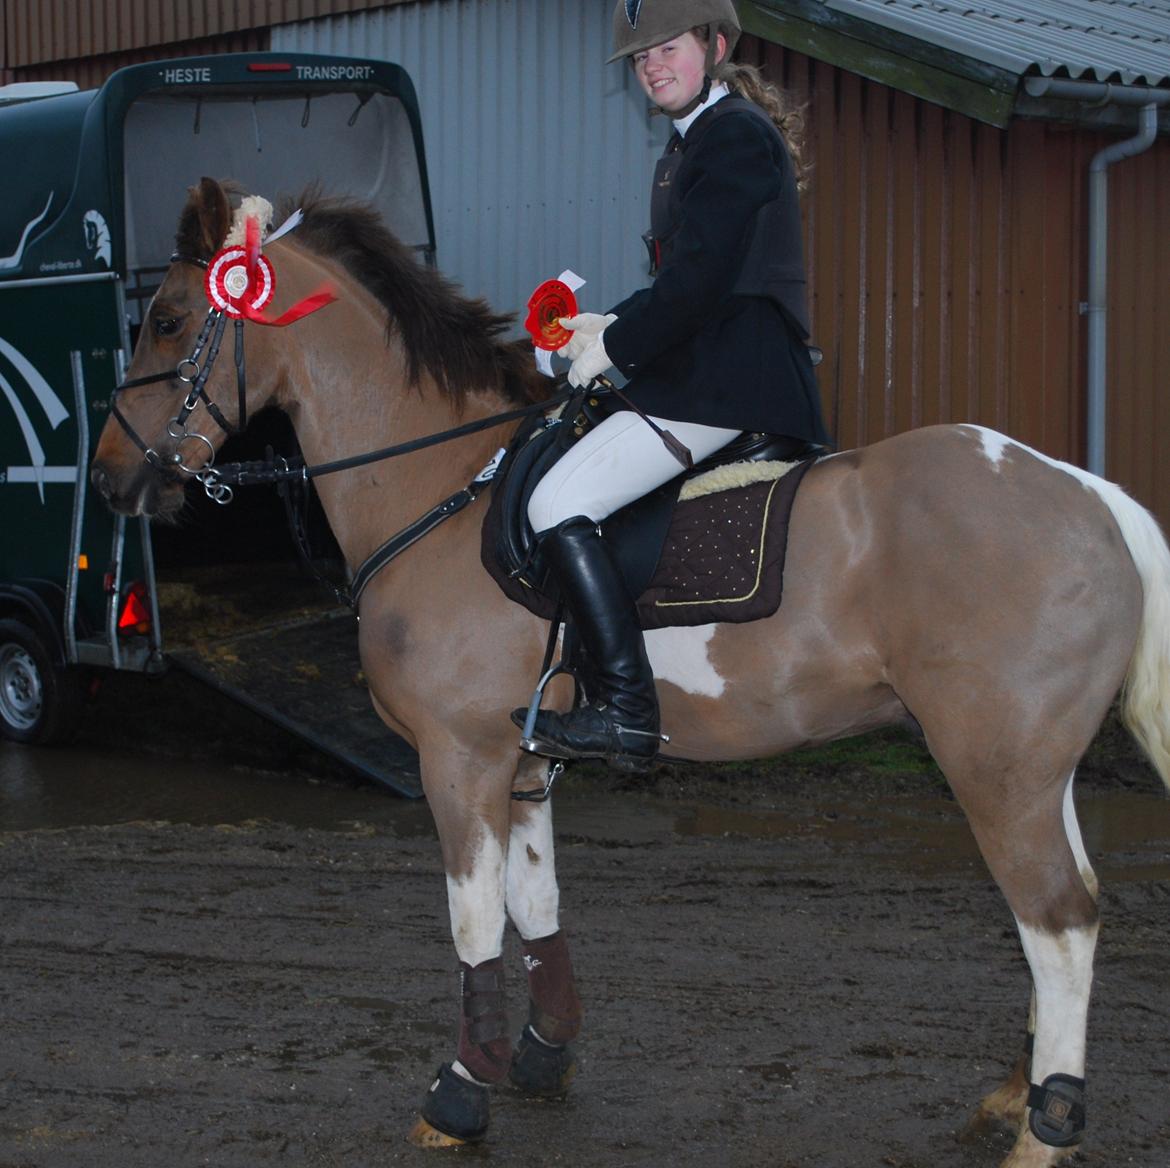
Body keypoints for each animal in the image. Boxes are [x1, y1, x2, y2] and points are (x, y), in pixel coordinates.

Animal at [91, 177, 1170, 1168]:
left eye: (168, 319)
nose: (109, 477)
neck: (440, 490)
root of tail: (1092, 495)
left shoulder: (458, 758)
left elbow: (474, 923)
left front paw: (459, 1091)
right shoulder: (522, 761)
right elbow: (536, 906)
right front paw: (540, 1056)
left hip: (994, 767)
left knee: (1058, 918)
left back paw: (1045, 1131)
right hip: (1035, 769)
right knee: (1067, 906)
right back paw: (1015, 1093)